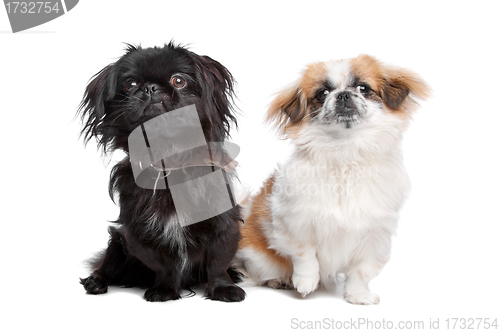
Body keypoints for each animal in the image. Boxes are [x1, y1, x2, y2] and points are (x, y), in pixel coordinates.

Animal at [77, 42, 246, 302]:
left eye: (179, 81)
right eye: (130, 85)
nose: (150, 88)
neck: (169, 158)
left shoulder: (223, 224)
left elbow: (217, 262)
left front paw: (223, 288)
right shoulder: (140, 233)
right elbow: (164, 264)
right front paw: (165, 289)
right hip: (116, 242)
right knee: (106, 266)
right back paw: (96, 282)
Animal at [232, 53, 432, 304]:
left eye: (363, 88)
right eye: (322, 94)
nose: (343, 94)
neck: (345, 153)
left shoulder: (376, 236)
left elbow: (363, 270)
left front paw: (358, 295)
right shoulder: (292, 223)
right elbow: (305, 255)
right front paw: (306, 283)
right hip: (259, 257)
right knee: (258, 273)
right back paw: (280, 280)